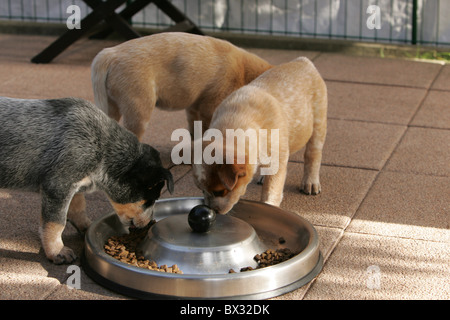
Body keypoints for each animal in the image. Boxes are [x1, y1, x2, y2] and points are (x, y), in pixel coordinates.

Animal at [91, 32, 270, 140]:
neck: (244, 71)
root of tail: (109, 53)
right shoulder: (210, 107)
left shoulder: (194, 107)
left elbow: (195, 130)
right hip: (139, 109)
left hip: (111, 106)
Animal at [192, 57, 326, 215]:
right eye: (201, 190)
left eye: (219, 192)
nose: (212, 211)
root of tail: (302, 61)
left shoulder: (278, 160)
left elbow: (271, 190)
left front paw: (269, 206)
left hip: (318, 123)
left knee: (312, 155)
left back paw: (310, 182)